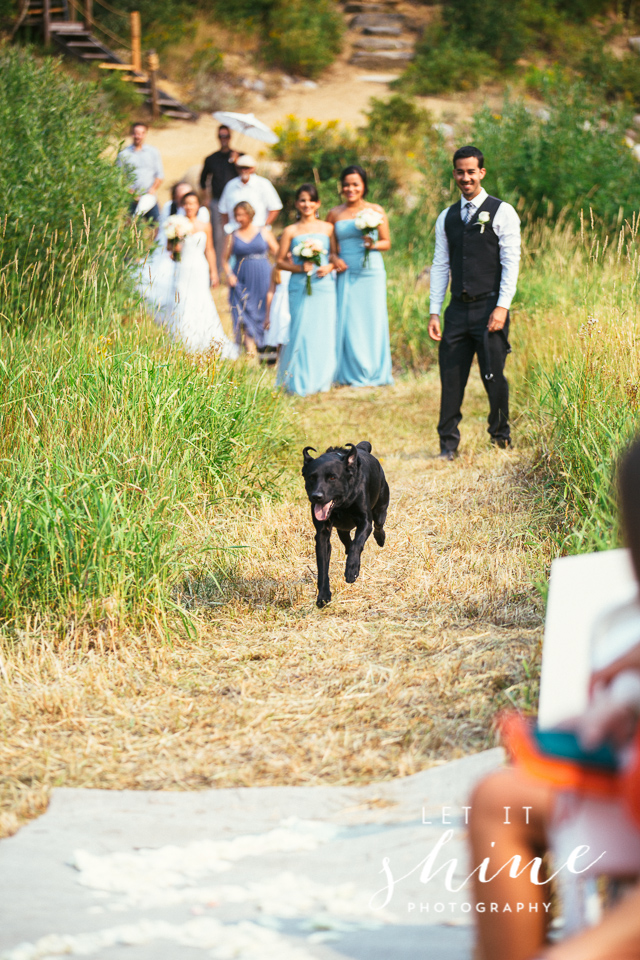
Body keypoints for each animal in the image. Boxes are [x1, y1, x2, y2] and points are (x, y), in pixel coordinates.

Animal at [302, 440, 390, 608]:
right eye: (311, 477)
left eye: (332, 477)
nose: (317, 496)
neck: (341, 505)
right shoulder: (322, 534)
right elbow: (323, 567)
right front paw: (323, 596)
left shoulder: (365, 522)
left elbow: (357, 543)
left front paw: (351, 571)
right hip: (342, 529)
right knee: (348, 542)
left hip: (380, 508)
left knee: (378, 526)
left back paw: (380, 539)